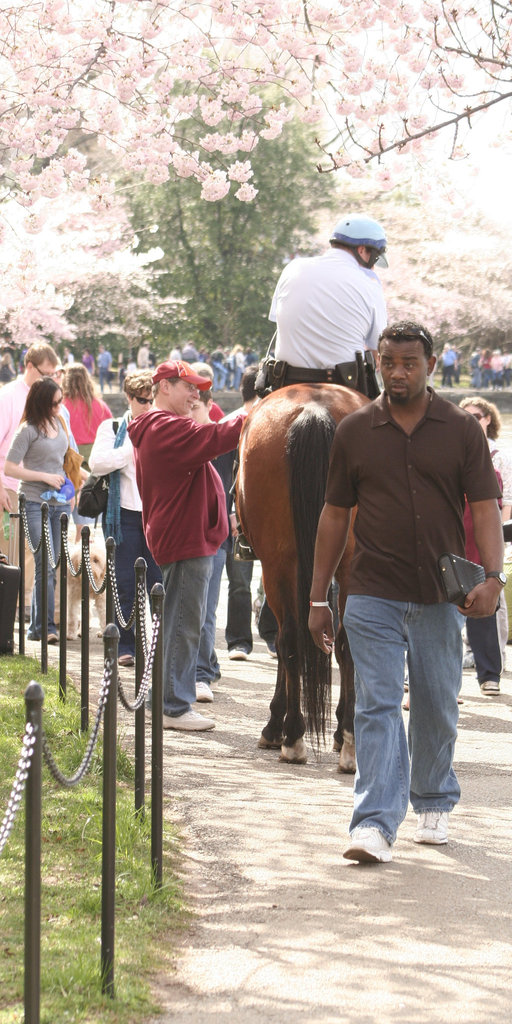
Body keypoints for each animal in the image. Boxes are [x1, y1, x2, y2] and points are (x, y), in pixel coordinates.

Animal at [235, 382, 368, 770]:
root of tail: (314, 409)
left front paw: (275, 724)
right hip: (345, 562)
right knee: (342, 641)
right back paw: (348, 741)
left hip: (278, 563)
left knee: (290, 638)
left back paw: (293, 735)